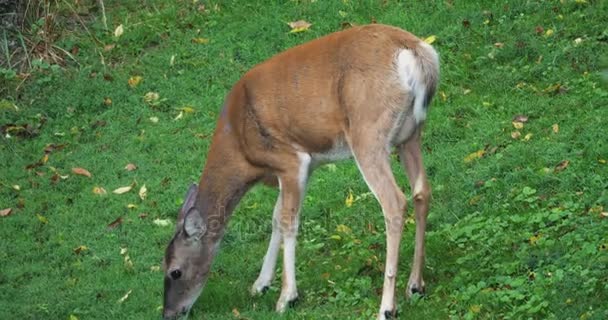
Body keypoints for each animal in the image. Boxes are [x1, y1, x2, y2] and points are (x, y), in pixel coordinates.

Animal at [162, 23, 436, 318]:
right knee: (422, 191)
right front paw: (260, 284)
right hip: (409, 136)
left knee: (395, 201)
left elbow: (287, 221)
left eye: (175, 272)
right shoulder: (302, 167)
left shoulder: (291, 160)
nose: (168, 313)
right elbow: (275, 217)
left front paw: (286, 297)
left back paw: (386, 307)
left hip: (368, 135)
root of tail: (417, 53)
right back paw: (415, 285)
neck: (240, 146)